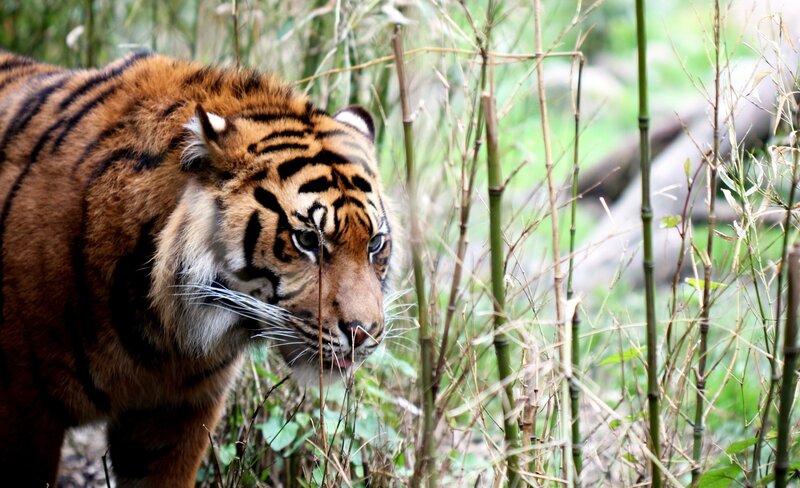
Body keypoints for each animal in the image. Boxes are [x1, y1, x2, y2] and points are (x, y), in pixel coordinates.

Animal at [0, 49, 392, 487]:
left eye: (375, 244)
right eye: (306, 240)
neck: (162, 334)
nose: (364, 333)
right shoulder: (23, 408)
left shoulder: (176, 416)